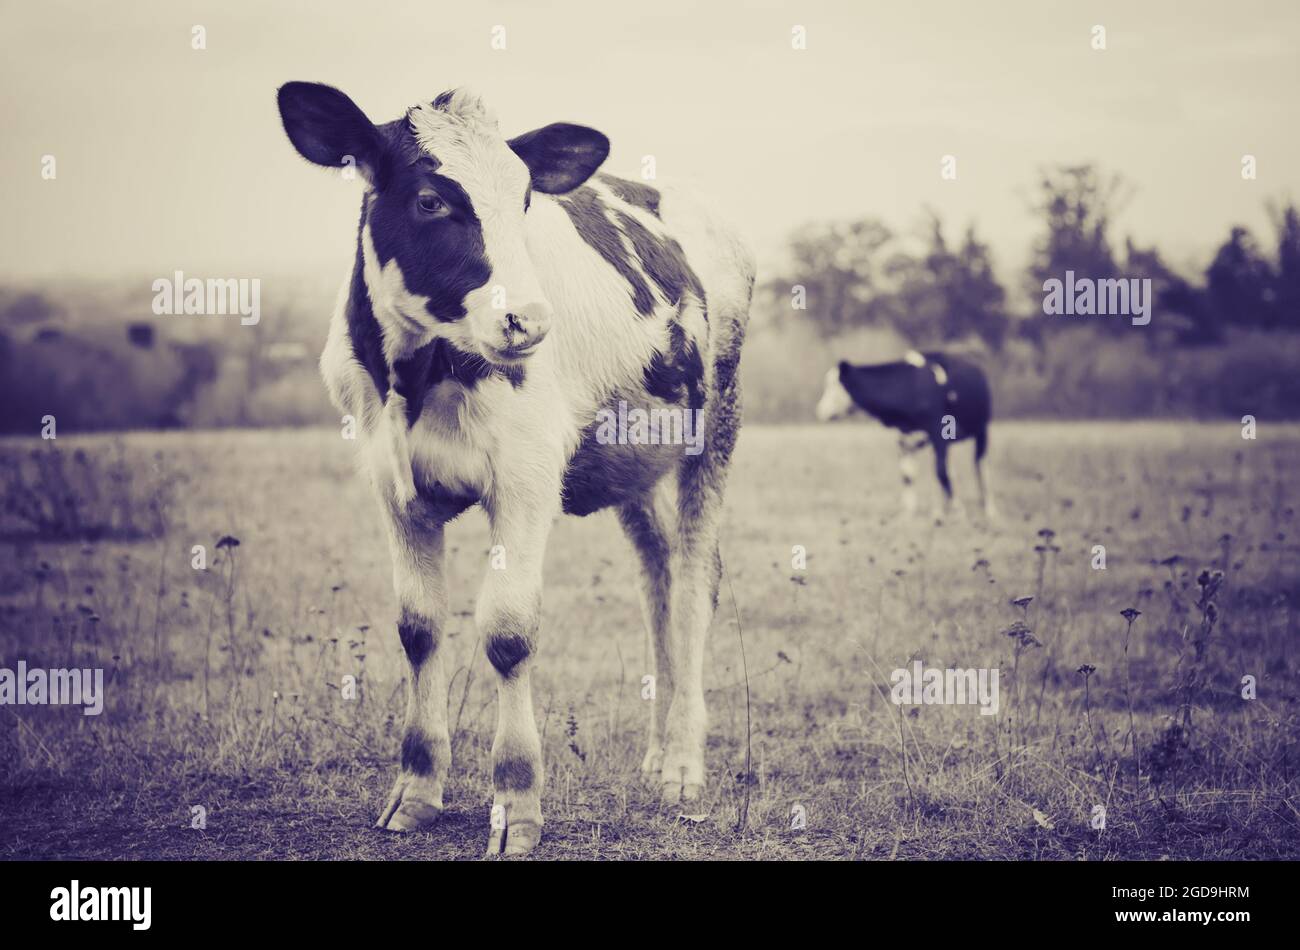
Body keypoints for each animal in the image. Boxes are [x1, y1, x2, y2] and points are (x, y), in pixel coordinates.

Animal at [276, 82, 753, 854]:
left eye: (525, 198)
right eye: (431, 201)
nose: (527, 321)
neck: (422, 373)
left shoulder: (526, 479)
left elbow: (507, 631)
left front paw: (517, 803)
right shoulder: (391, 486)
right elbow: (418, 627)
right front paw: (415, 789)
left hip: (716, 427)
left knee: (690, 586)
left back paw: (683, 763)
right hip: (630, 460)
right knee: (657, 577)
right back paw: (657, 754)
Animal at [815, 350, 993, 517]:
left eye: (833, 385)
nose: (820, 411)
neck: (910, 384)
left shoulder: (939, 434)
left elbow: (941, 472)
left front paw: (958, 510)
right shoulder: (905, 436)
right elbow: (908, 474)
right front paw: (908, 513)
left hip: (981, 430)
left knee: (979, 466)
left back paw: (989, 511)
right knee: (953, 470)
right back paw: (941, 510)